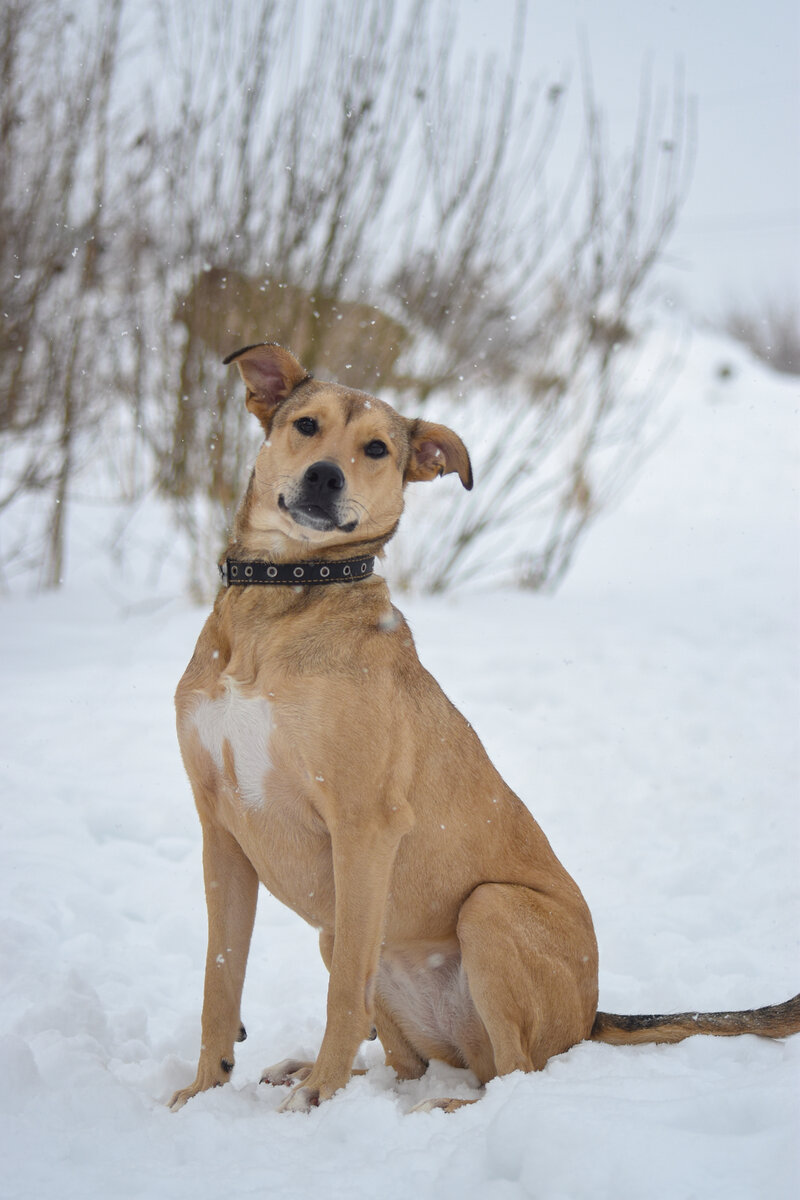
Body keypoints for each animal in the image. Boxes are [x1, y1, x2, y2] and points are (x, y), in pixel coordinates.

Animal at [169, 343, 800, 1108]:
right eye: (306, 425)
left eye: (377, 448)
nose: (324, 476)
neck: (283, 600)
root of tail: (590, 1015)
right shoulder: (221, 829)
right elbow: (219, 980)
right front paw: (203, 1090)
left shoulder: (364, 826)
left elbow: (344, 995)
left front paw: (317, 1101)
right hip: (348, 936)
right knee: (409, 1062)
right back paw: (330, 1072)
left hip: (489, 910)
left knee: (513, 1072)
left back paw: (427, 1104)